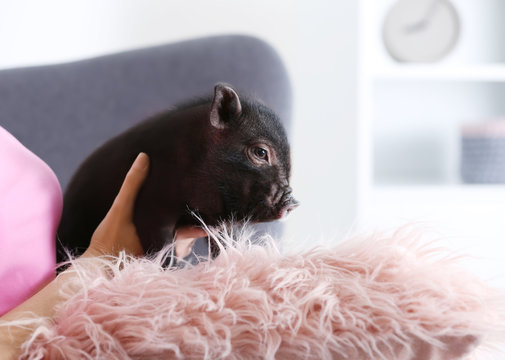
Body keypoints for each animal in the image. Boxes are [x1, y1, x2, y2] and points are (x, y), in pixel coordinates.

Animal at [57, 83, 298, 260]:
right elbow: (163, 251)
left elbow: (223, 245)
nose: (293, 202)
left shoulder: (219, 225)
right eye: (260, 152)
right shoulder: (151, 209)